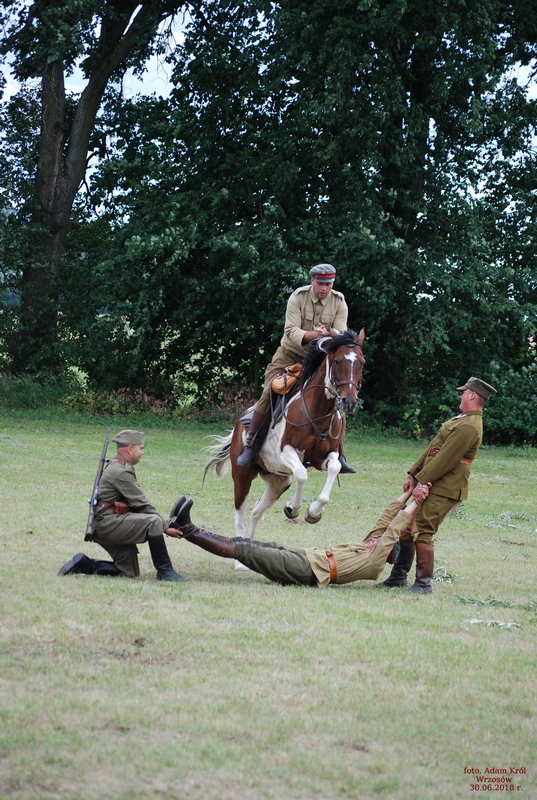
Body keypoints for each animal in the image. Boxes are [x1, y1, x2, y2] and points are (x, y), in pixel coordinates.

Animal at [204, 328, 366, 540]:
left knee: (256, 511)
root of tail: (239, 424)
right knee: (240, 518)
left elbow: (335, 467)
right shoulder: (286, 452)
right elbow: (302, 474)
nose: (350, 402)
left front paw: (314, 512)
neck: (317, 412)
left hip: (277, 481)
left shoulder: (325, 456)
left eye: (361, 362)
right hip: (242, 476)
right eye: (338, 361)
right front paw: (293, 508)